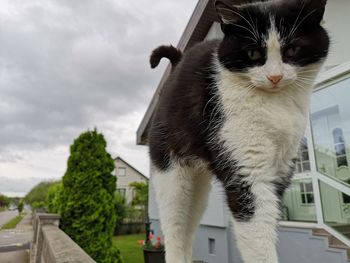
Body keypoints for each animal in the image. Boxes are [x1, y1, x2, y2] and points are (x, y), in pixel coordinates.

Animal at [148, 1, 330, 262]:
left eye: (293, 49)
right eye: (253, 53)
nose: (275, 77)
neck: (276, 105)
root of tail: (178, 64)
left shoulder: (280, 170)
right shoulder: (248, 173)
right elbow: (259, 240)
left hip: (199, 189)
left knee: (189, 230)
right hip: (172, 176)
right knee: (175, 229)